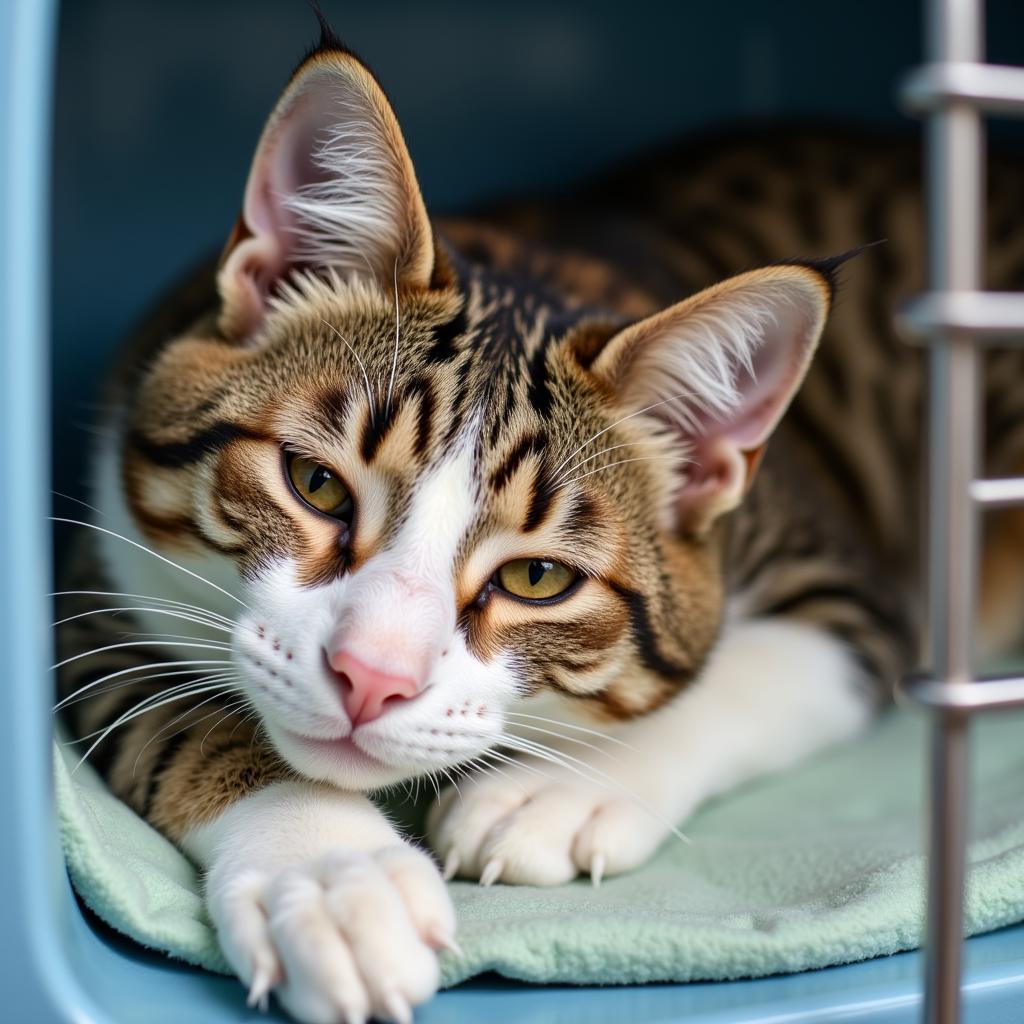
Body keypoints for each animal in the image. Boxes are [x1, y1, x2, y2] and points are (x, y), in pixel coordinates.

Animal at [58, 22, 1024, 1024]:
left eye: (537, 578)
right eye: (316, 484)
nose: (372, 679)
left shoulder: (847, 588)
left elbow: (742, 672)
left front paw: (556, 786)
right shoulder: (95, 582)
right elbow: (180, 717)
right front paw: (334, 870)